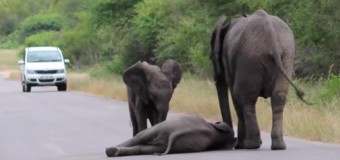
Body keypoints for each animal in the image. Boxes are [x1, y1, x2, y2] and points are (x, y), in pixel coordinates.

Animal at [105, 113, 236, 157]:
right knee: (144, 147)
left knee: (139, 138)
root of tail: (174, 133)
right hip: (174, 144)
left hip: (163, 127)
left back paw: (110, 150)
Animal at [210, 9, 308, 150]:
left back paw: (250, 145)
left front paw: (240, 145)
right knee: (278, 98)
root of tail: (271, 37)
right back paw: (278, 146)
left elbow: (234, 95)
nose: (230, 141)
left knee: (245, 98)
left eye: (211, 56)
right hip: (286, 55)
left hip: (249, 58)